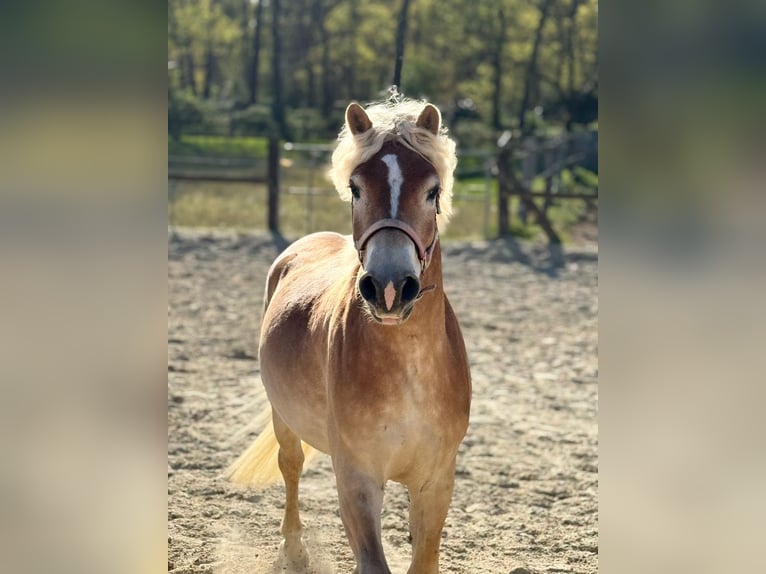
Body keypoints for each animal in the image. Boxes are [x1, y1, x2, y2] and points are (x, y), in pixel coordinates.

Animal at [227, 99, 471, 574]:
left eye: (432, 191)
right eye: (356, 188)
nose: (390, 288)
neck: (410, 369)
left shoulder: (437, 482)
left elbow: (423, 558)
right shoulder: (358, 480)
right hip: (283, 419)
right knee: (291, 467)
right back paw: (294, 551)